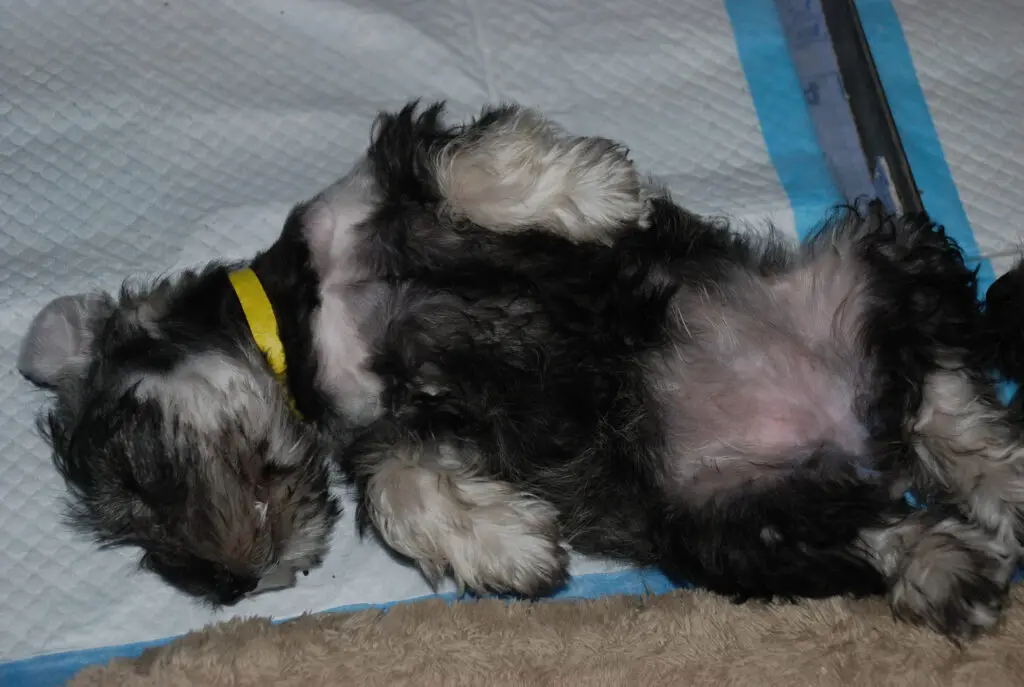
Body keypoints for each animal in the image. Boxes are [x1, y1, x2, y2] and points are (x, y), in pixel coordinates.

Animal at [16, 100, 1024, 638]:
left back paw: (998, 482)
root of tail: (852, 435)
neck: (305, 327)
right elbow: (401, 491)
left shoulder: (384, 182)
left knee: (944, 389)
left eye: (138, 477)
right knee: (875, 523)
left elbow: (471, 165)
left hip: (876, 251)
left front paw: (598, 191)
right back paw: (948, 562)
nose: (228, 588)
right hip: (729, 523)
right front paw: (508, 544)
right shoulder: (389, 433)